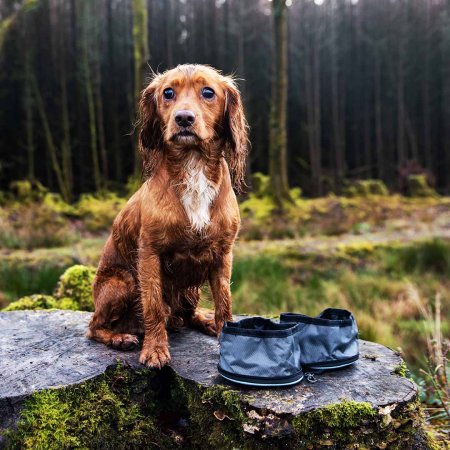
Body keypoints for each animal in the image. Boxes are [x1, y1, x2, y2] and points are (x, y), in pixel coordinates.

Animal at [87, 66, 250, 370]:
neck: (193, 165)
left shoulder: (223, 254)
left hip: (189, 290)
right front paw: (155, 350)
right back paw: (120, 337)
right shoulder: (150, 253)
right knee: (93, 326)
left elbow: (224, 303)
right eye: (168, 93)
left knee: (187, 314)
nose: (183, 118)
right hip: (122, 282)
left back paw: (203, 321)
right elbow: (152, 306)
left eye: (208, 92)